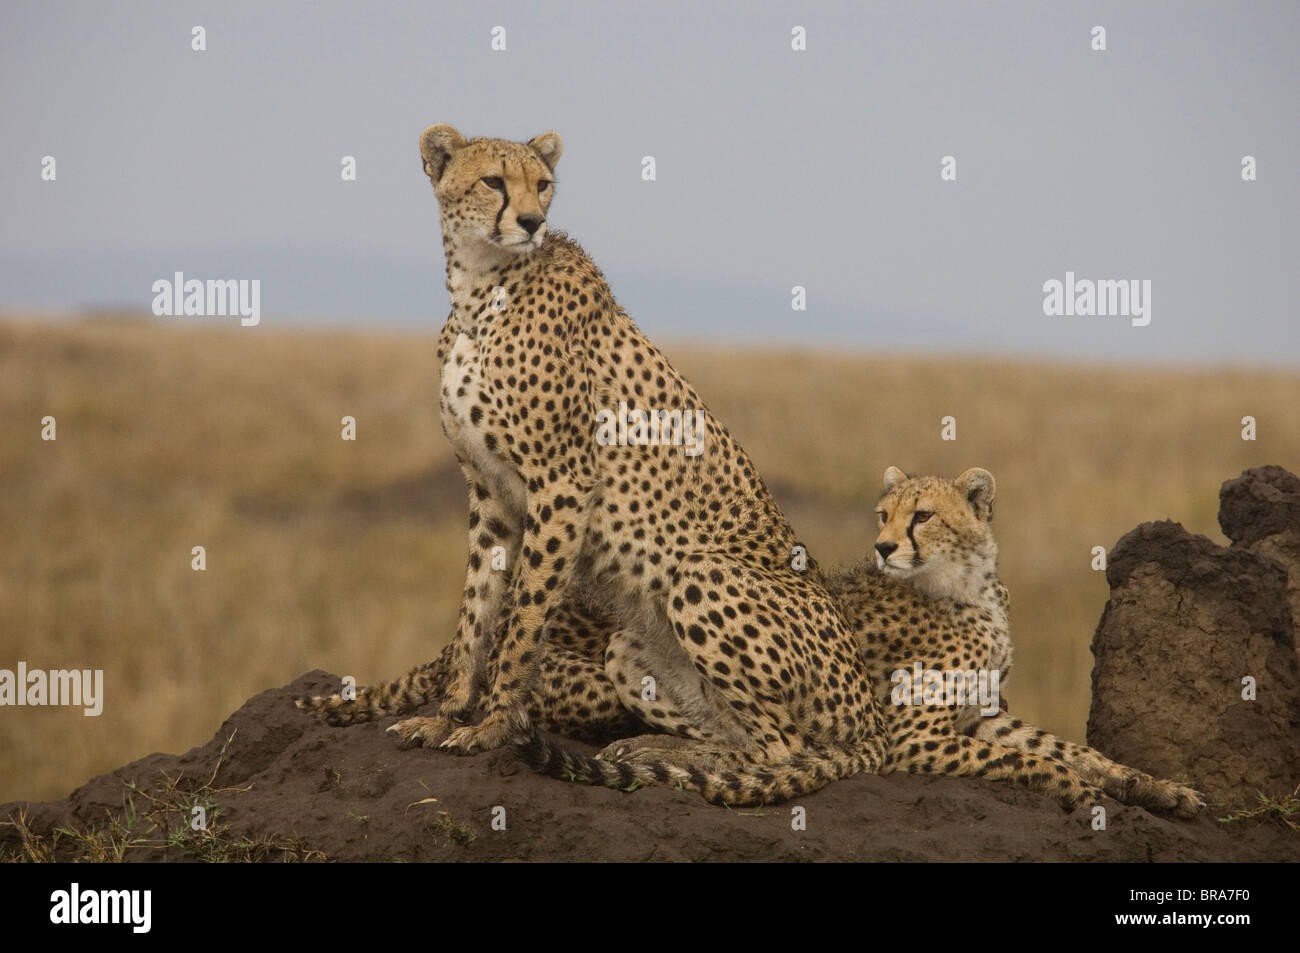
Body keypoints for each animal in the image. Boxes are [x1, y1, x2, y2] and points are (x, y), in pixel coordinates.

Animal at [297, 122, 883, 800]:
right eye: (492, 181)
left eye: (543, 184)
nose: (530, 220)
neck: (479, 289)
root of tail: (873, 718)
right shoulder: (489, 492)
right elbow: (476, 611)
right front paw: (445, 715)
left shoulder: (562, 483)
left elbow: (523, 619)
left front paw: (491, 728)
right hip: (626, 645)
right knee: (745, 741)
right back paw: (651, 750)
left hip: (702, 575)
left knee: (785, 750)